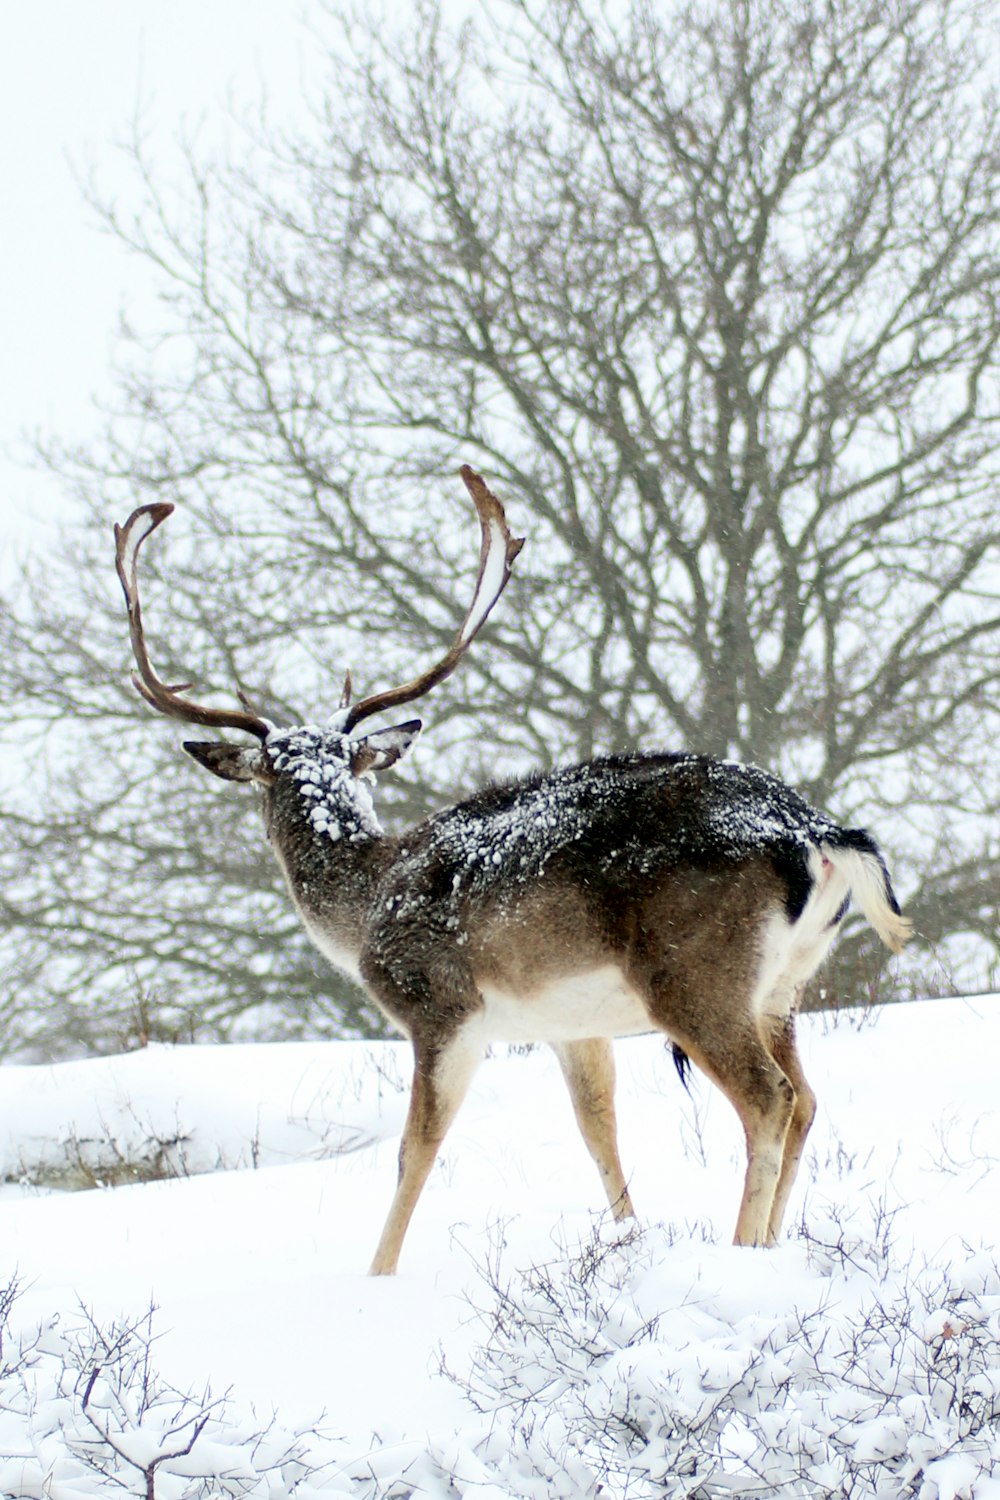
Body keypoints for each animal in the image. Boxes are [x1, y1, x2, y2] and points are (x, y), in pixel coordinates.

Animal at [113, 462, 911, 1272]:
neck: (364, 907)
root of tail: (817, 832)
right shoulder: (567, 1024)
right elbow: (598, 1130)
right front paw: (628, 1238)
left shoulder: (441, 1008)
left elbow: (414, 1152)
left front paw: (377, 1274)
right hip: (782, 986)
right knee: (805, 1099)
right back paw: (773, 1244)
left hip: (694, 973)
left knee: (768, 1098)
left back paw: (742, 1245)